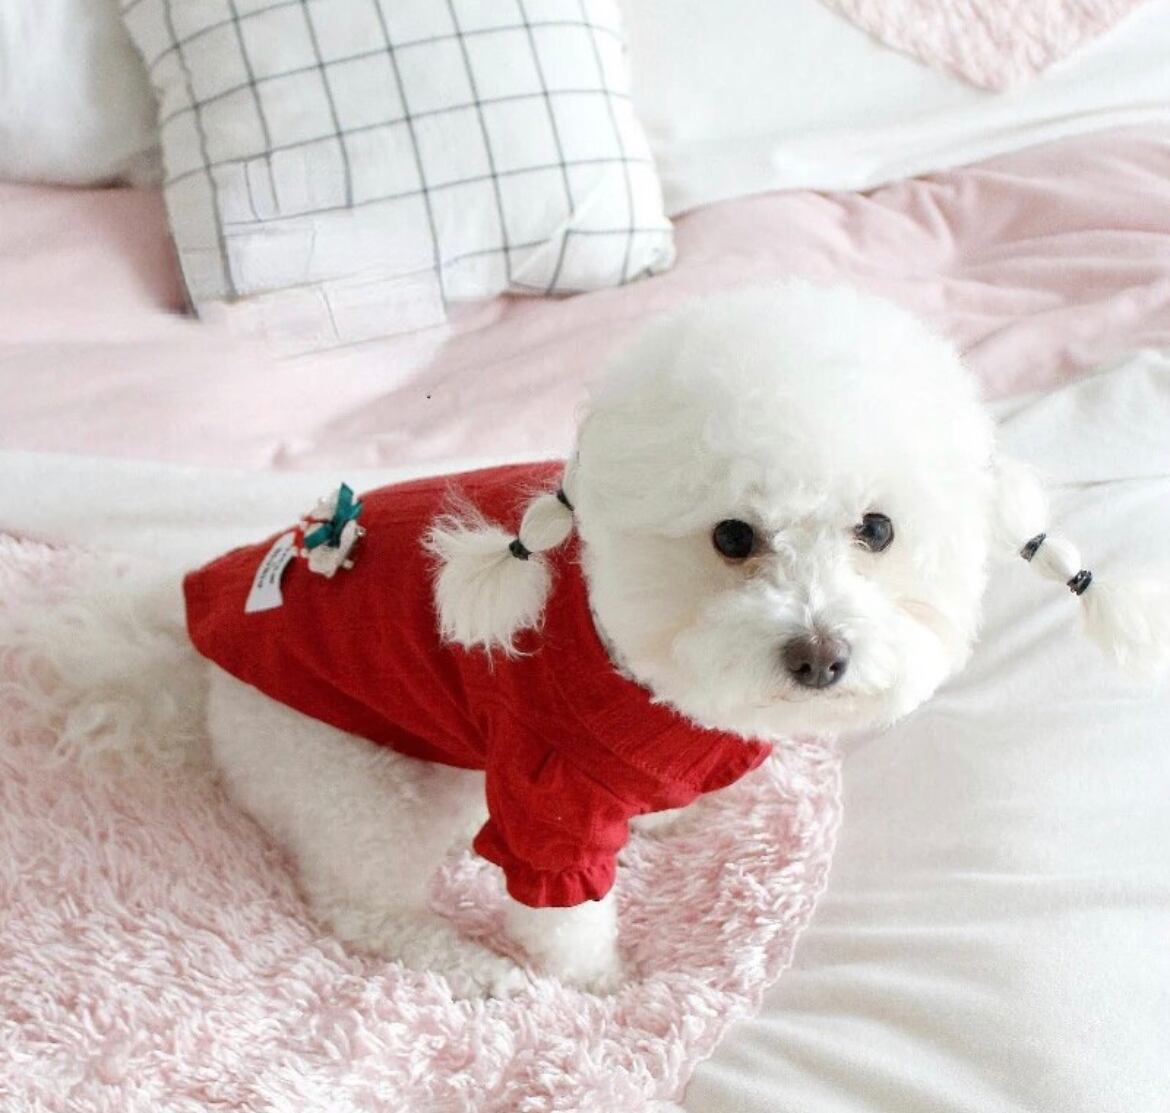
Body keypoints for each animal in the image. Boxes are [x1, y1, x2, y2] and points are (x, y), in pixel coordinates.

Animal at [12, 283, 1167, 997]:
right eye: (733, 536)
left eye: (877, 530)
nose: (818, 657)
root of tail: (198, 657)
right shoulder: (545, 784)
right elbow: (564, 910)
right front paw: (599, 989)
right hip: (360, 778)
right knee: (361, 904)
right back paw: (466, 965)